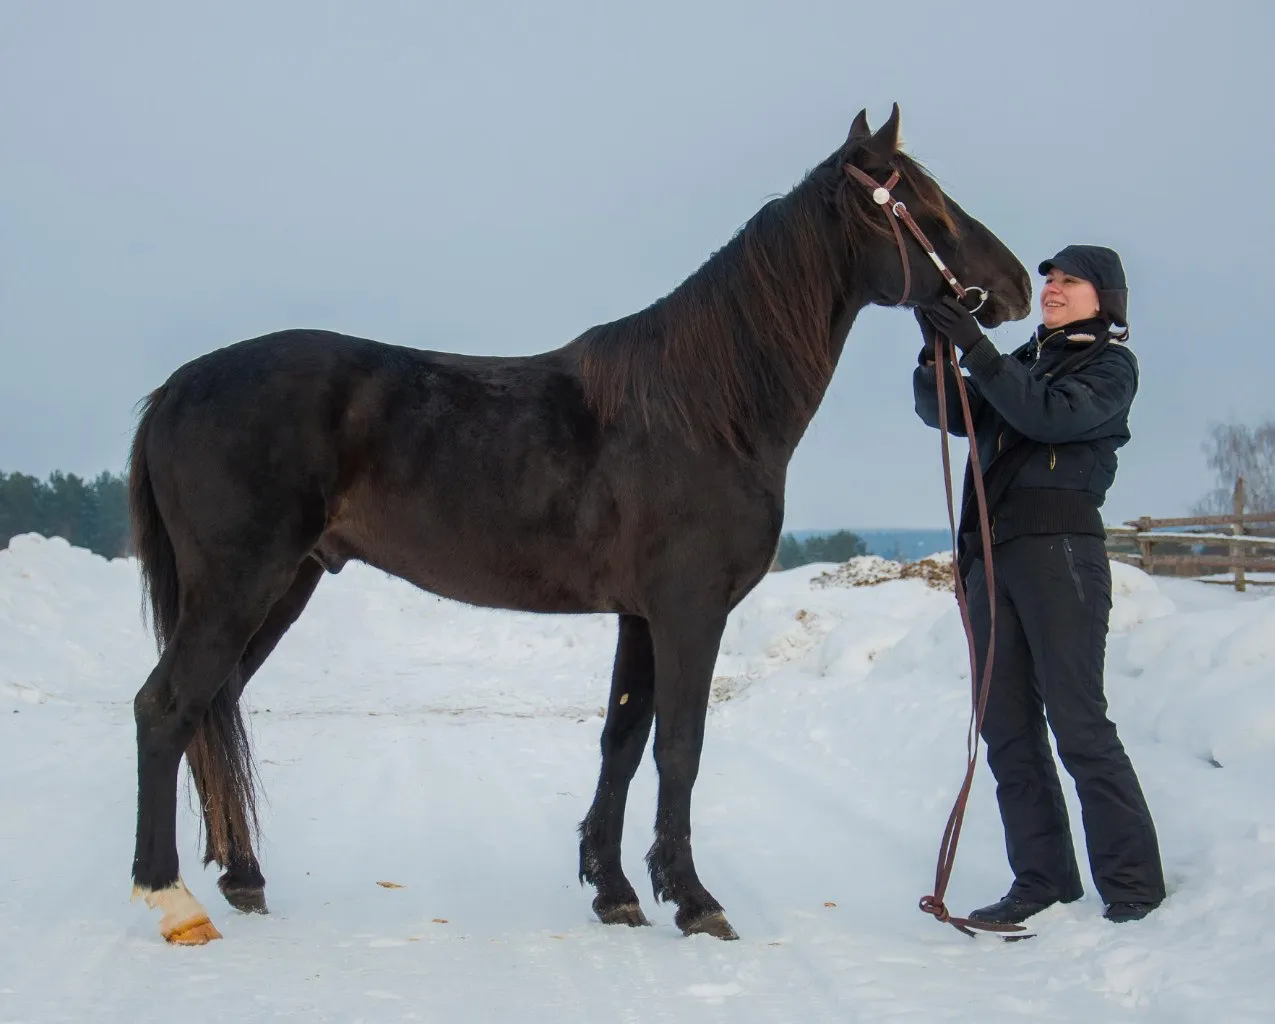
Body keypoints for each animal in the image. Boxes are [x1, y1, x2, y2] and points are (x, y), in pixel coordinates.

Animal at [126, 103, 1032, 945]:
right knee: (166, 707)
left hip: (285, 586)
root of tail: (177, 388)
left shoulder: (639, 615)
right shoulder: (688, 610)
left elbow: (622, 741)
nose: (1016, 286)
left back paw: (242, 877)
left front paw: (616, 889)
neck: (706, 409)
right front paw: (694, 899)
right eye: (922, 205)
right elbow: (680, 746)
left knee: (213, 707)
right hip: (240, 586)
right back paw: (170, 898)